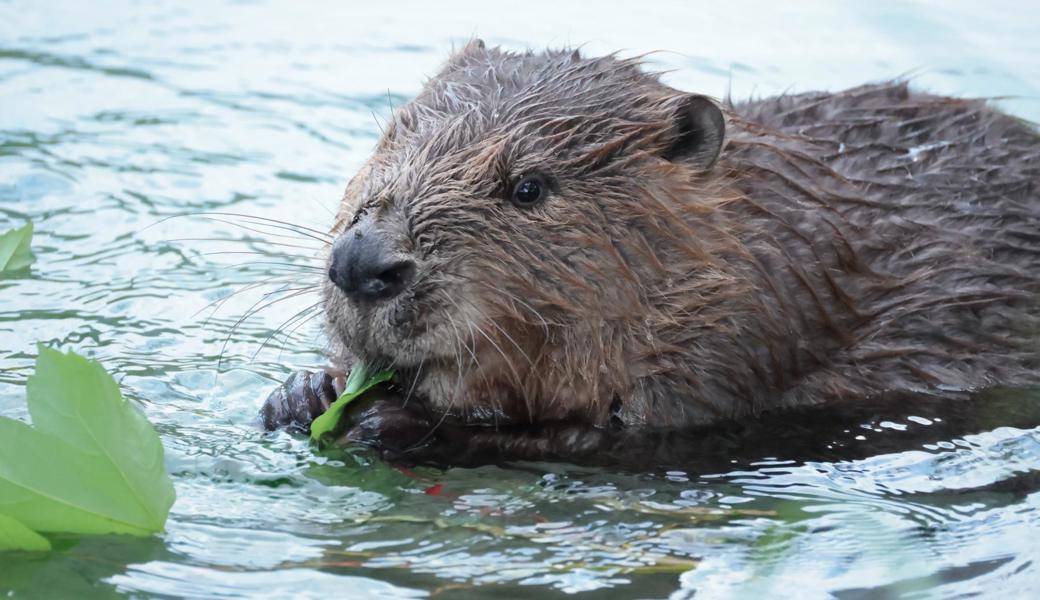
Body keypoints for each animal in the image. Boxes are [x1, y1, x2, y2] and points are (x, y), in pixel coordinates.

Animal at [260, 41, 1040, 463]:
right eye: (394, 137)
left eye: (529, 186)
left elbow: (603, 437)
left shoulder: (749, 336)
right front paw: (306, 392)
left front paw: (394, 421)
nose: (363, 265)